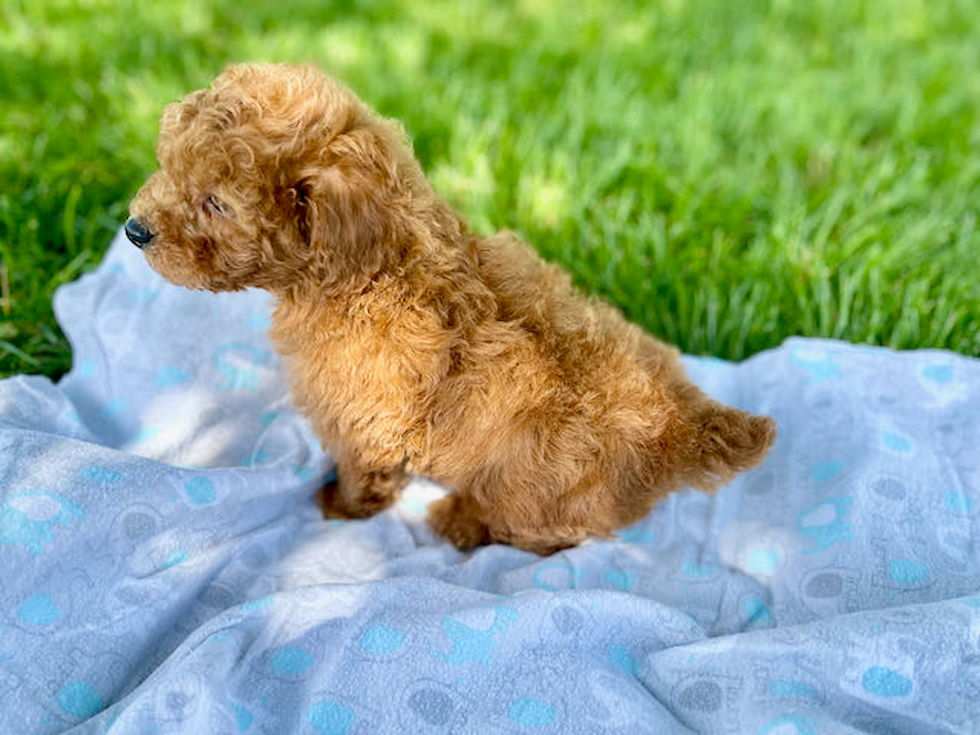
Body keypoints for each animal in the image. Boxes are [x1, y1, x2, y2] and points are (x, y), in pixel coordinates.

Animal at [126, 63, 776, 556]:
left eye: (216, 203)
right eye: (171, 167)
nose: (134, 230)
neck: (377, 266)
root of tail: (679, 424)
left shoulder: (366, 419)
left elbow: (363, 473)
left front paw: (339, 506)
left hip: (536, 489)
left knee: (539, 535)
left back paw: (459, 520)